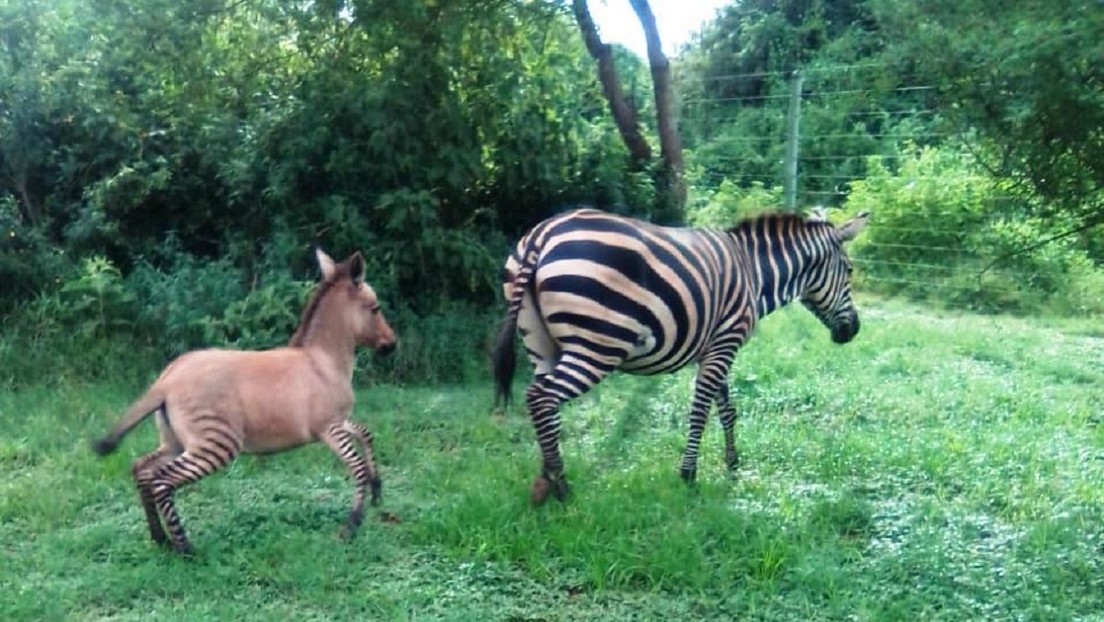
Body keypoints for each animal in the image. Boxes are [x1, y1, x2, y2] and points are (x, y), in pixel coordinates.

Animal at [494, 207, 869, 505]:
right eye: (850, 270)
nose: (853, 331)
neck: (755, 273)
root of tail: (542, 234)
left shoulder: (715, 347)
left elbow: (727, 409)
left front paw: (733, 465)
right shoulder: (725, 343)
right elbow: (701, 411)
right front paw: (689, 475)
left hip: (541, 346)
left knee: (543, 406)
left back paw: (546, 478)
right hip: (597, 346)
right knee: (542, 398)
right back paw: (562, 488)